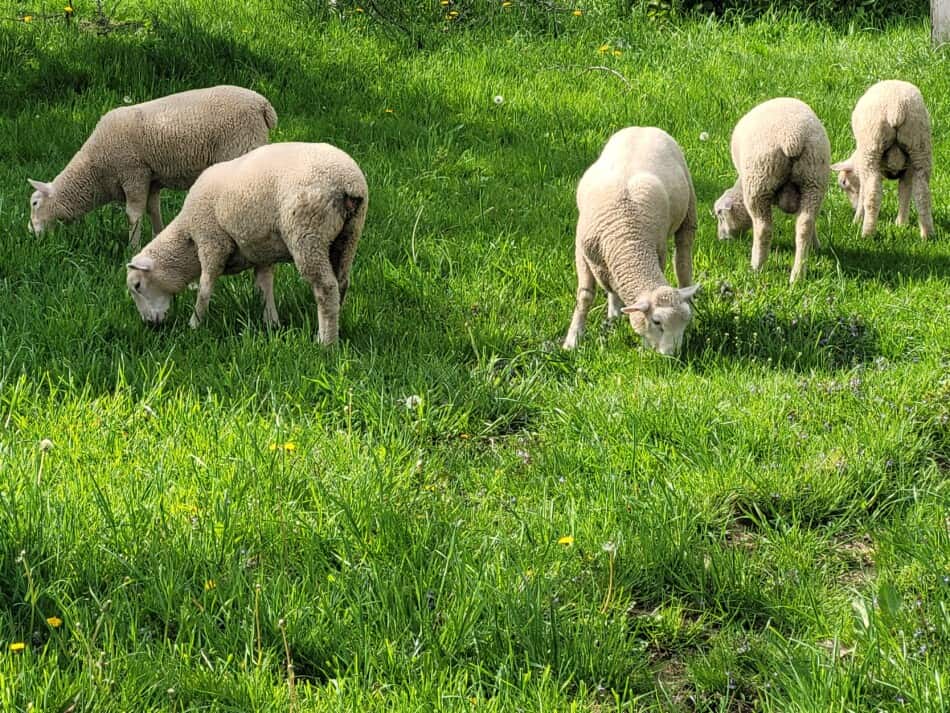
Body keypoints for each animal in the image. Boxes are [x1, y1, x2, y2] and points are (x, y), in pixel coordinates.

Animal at [27, 84, 278, 248]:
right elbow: (153, 210)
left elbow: (133, 215)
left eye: (35, 203)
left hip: (241, 146)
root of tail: (262, 105)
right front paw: (158, 236)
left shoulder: (133, 172)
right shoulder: (152, 179)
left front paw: (132, 248)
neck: (95, 169)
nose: (30, 233)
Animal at [129, 140, 372, 344]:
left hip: (308, 234)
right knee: (341, 282)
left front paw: (195, 324)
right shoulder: (261, 253)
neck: (187, 236)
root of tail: (348, 183)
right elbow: (264, 287)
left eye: (137, 286)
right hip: (348, 236)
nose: (149, 324)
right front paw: (271, 323)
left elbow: (205, 287)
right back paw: (333, 328)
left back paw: (326, 343)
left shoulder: (212, 242)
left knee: (325, 288)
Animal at [560, 128, 704, 356]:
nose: (672, 356)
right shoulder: (582, 252)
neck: (626, 238)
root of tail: (644, 127)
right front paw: (573, 340)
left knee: (683, 260)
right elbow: (585, 295)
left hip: (689, 212)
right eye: (657, 322)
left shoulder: (657, 249)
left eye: (685, 322)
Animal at [712, 95, 832, 284]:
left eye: (719, 215)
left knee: (764, 228)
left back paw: (757, 265)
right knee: (805, 224)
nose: (722, 239)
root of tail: (792, 138)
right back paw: (798, 275)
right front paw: (816, 247)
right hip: (814, 180)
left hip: (759, 181)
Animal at [832, 79, 936, 238]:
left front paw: (857, 219)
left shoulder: (864, 167)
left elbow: (863, 193)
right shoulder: (908, 170)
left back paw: (867, 234)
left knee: (872, 194)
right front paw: (901, 224)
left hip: (872, 146)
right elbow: (904, 192)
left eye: (843, 183)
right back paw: (927, 235)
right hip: (919, 144)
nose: (853, 209)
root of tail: (897, 108)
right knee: (922, 194)